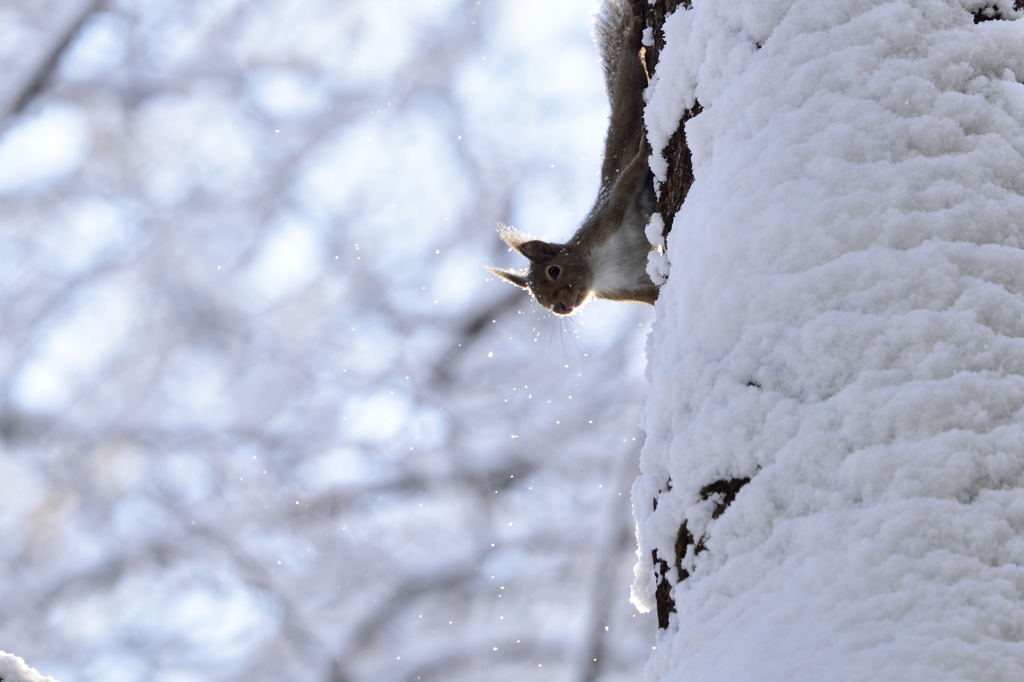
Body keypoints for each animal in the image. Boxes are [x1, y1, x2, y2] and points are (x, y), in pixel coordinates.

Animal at [485, 0, 655, 313]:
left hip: (628, 93)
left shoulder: (608, 217)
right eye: (538, 299)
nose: (560, 308)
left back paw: (633, 30)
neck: (600, 268)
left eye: (554, 270)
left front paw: (645, 150)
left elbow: (631, 175)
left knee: (629, 63)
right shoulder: (630, 286)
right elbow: (656, 294)